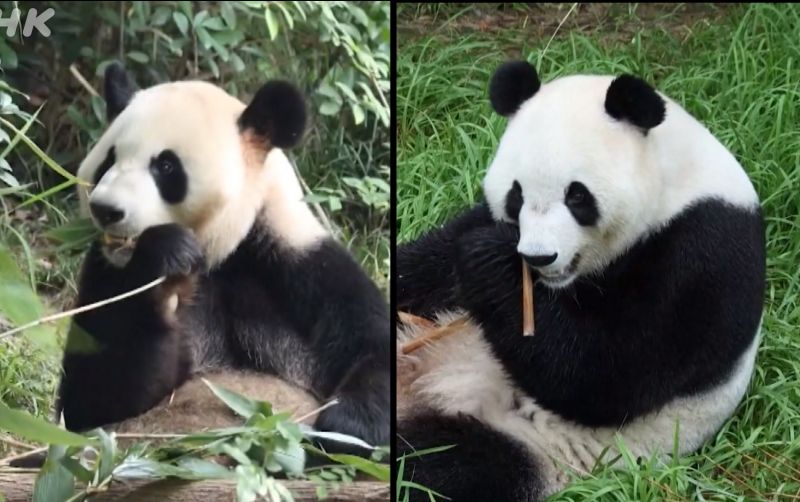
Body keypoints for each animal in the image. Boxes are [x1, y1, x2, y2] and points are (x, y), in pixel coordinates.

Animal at [55, 63, 389, 449]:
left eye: (166, 167)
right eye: (108, 159)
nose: (106, 209)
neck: (221, 255)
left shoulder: (301, 265)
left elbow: (370, 342)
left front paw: (346, 426)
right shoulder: (105, 274)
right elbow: (94, 399)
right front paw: (166, 258)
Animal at [396, 60, 766, 501]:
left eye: (577, 196)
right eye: (517, 195)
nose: (538, 257)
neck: (677, 178)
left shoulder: (704, 250)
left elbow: (607, 375)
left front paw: (489, 260)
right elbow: (431, 263)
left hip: (542, 447)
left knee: (441, 463)